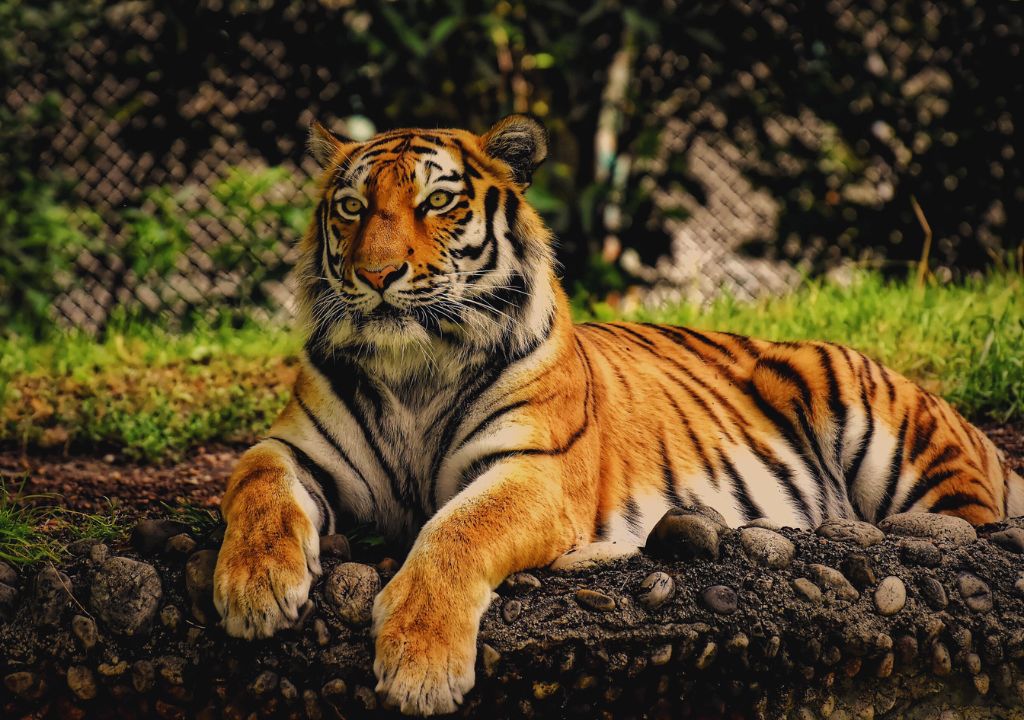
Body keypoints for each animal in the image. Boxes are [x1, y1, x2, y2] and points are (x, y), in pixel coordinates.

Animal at [212, 114, 1024, 716]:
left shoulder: (531, 471)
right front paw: (255, 591)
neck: (414, 368)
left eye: (436, 203)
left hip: (899, 443)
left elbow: (455, 532)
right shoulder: (297, 447)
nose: (376, 275)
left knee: (963, 526)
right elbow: (255, 481)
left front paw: (418, 664)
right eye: (351, 208)